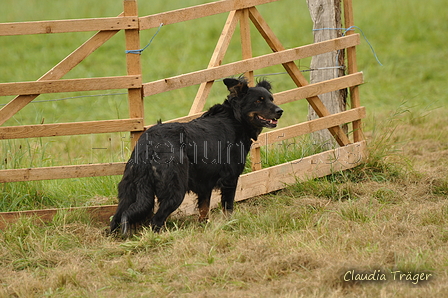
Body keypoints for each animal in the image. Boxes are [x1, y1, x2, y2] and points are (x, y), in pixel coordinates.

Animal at [110, 77, 282, 235]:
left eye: (271, 99)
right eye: (258, 101)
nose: (280, 111)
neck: (235, 118)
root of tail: (149, 144)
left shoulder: (205, 183)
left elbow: (204, 210)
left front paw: (204, 227)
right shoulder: (230, 180)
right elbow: (228, 208)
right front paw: (230, 224)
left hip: (129, 191)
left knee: (116, 218)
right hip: (174, 190)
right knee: (156, 221)